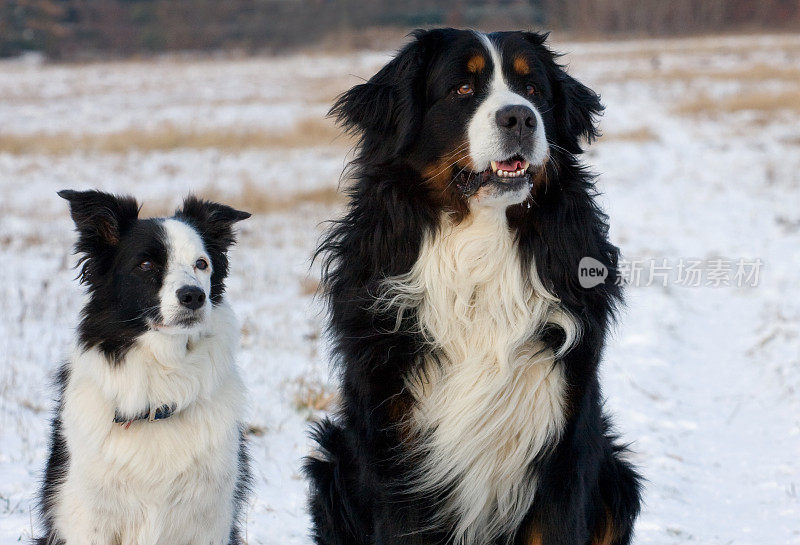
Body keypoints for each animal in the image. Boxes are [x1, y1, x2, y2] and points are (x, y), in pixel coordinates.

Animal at [306, 29, 644, 544]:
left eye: (533, 89)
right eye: (462, 88)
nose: (520, 117)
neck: (480, 251)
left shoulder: (562, 445)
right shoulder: (397, 456)